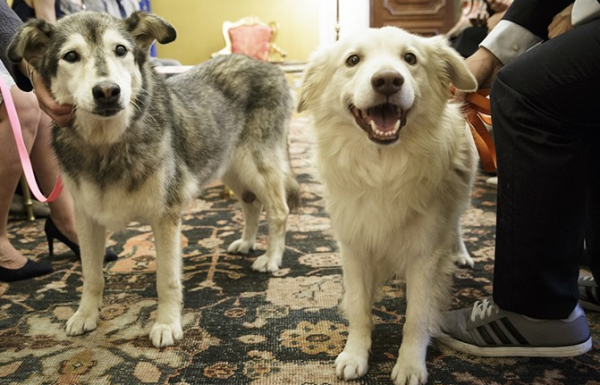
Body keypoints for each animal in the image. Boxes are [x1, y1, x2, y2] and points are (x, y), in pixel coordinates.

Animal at [8, 10, 298, 346]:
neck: (107, 146)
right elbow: (91, 274)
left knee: (279, 210)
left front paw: (167, 324)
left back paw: (271, 258)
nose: (107, 91)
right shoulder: (86, 219)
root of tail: (270, 67)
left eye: (121, 50)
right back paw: (247, 243)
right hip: (230, 167)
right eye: (71, 56)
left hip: (257, 165)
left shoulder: (165, 218)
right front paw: (85, 315)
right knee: (252, 205)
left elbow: (167, 280)